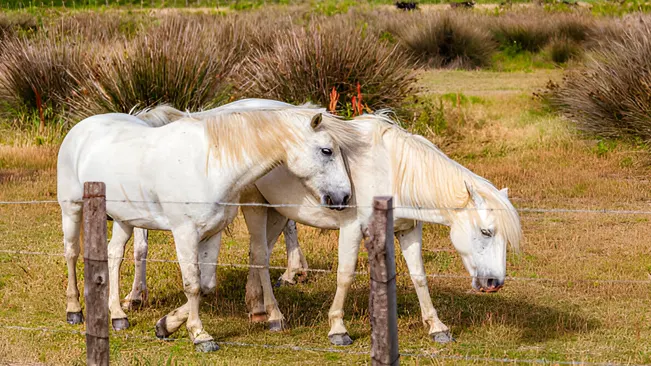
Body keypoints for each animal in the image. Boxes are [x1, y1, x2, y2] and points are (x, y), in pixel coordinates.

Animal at [58, 104, 360, 350]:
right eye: (326, 151)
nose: (344, 197)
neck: (210, 164)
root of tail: (81, 128)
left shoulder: (211, 234)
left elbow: (206, 284)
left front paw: (166, 325)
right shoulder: (184, 234)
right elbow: (192, 284)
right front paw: (199, 335)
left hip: (124, 220)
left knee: (114, 256)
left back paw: (118, 315)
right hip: (72, 209)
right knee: (72, 253)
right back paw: (74, 310)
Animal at [129, 100, 524, 346]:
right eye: (486, 231)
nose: (494, 283)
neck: (393, 169)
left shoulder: (409, 230)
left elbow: (419, 277)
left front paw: (437, 326)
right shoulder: (352, 230)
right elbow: (345, 276)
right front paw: (338, 328)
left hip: (278, 213)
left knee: (259, 257)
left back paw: (250, 308)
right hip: (256, 208)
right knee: (260, 256)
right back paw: (271, 315)